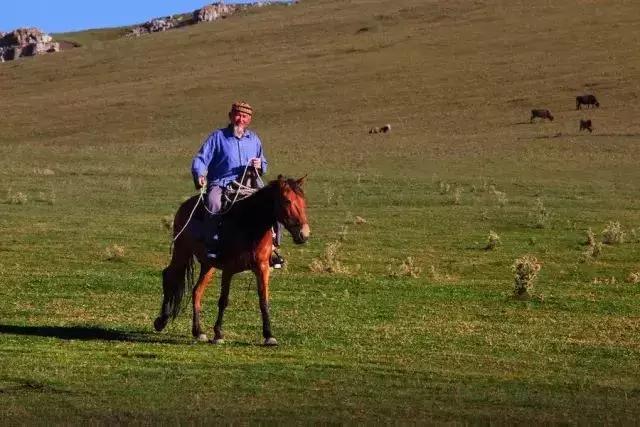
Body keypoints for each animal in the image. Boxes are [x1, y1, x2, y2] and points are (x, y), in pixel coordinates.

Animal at [152, 176, 308, 346]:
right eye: (287, 201)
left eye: (303, 201)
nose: (304, 234)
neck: (250, 225)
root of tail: (186, 205)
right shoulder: (228, 269)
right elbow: (223, 300)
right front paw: (218, 333)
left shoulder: (262, 268)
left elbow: (264, 300)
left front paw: (269, 335)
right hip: (182, 251)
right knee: (169, 275)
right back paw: (161, 321)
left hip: (208, 265)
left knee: (196, 291)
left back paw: (198, 331)